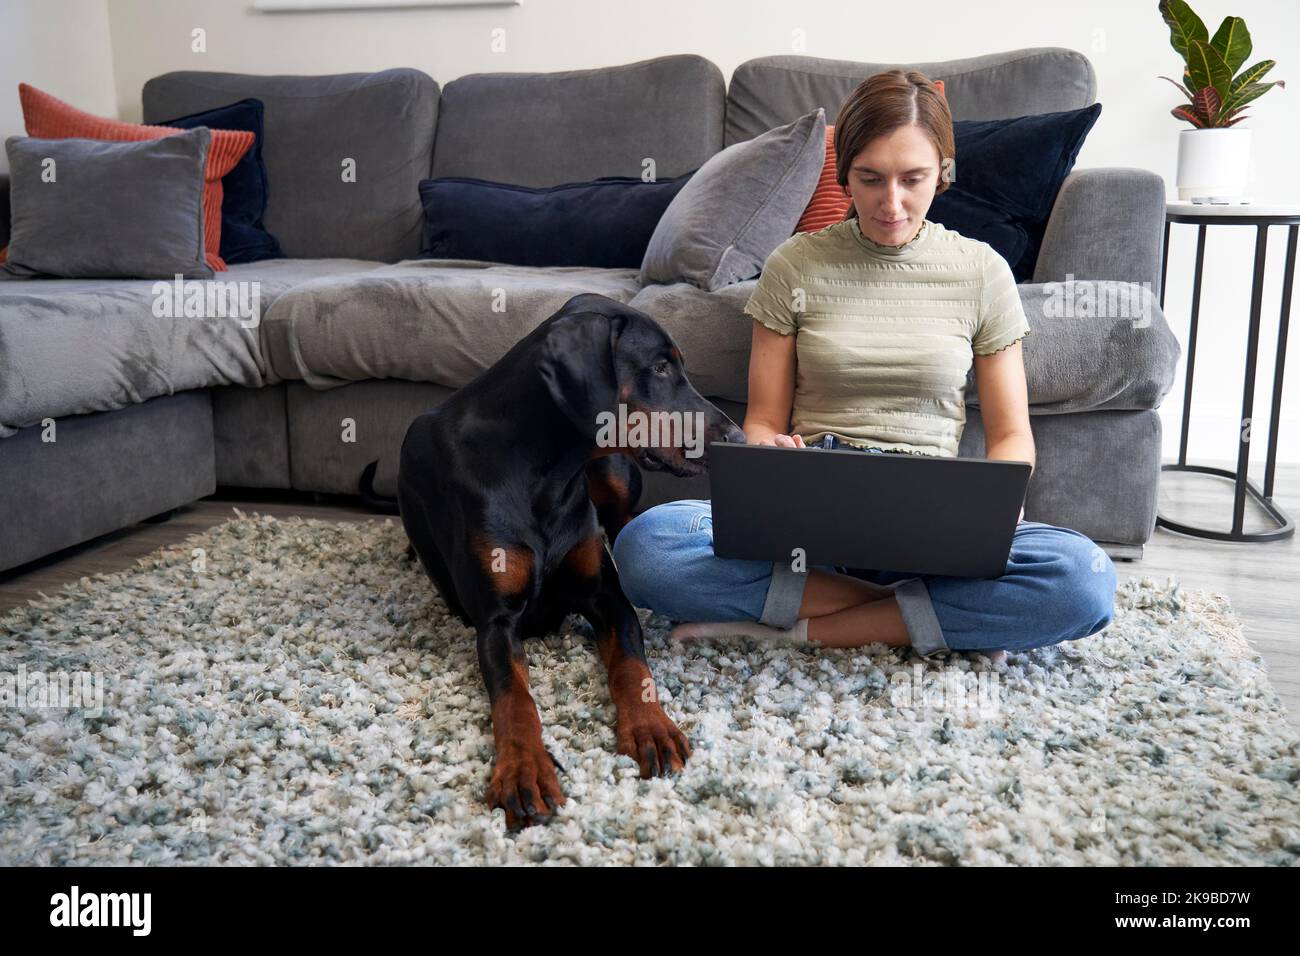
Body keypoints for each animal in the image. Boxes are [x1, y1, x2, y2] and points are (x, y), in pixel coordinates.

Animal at [384, 291, 743, 832]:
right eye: (659, 367)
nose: (738, 437)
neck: (546, 474)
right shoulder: (496, 620)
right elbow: (514, 698)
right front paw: (523, 770)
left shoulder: (606, 597)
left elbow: (633, 666)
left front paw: (652, 728)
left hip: (614, 476)